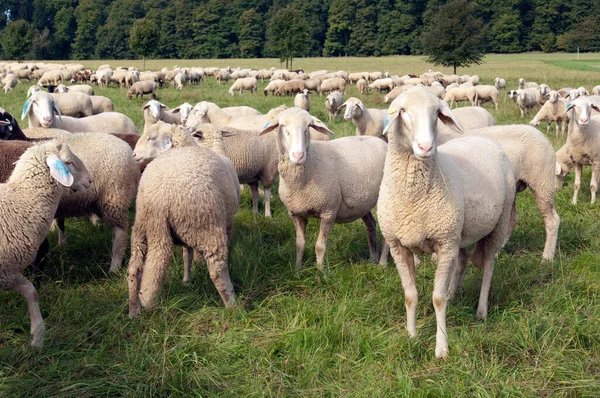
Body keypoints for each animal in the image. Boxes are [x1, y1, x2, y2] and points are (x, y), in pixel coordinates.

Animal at [0, 143, 92, 348]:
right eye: (68, 162)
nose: (90, 180)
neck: (21, 202)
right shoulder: (6, 272)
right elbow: (32, 292)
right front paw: (38, 337)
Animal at [260, 109, 386, 268]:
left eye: (307, 128)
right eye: (283, 127)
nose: (298, 156)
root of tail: (381, 142)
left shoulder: (328, 212)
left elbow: (320, 246)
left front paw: (320, 271)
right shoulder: (296, 213)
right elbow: (299, 244)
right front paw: (297, 268)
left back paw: (383, 263)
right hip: (362, 203)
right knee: (371, 224)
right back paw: (373, 258)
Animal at [380, 88, 516, 360]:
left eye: (436, 112)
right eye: (403, 110)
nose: (425, 146)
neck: (412, 197)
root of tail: (486, 140)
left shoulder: (444, 244)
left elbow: (437, 298)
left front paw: (441, 347)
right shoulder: (398, 246)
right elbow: (410, 295)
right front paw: (411, 335)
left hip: (497, 223)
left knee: (488, 265)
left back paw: (481, 309)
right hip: (459, 232)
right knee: (463, 259)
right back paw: (455, 294)